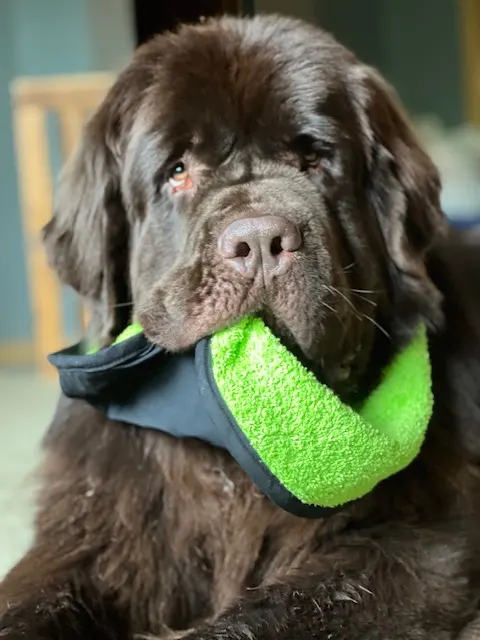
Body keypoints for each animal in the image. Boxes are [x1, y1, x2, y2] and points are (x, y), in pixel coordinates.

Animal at [0, 15, 480, 640]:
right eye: (178, 172)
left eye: (314, 162)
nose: (258, 238)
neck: (225, 457)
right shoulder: (94, 535)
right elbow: (31, 597)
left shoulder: (420, 542)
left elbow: (273, 610)